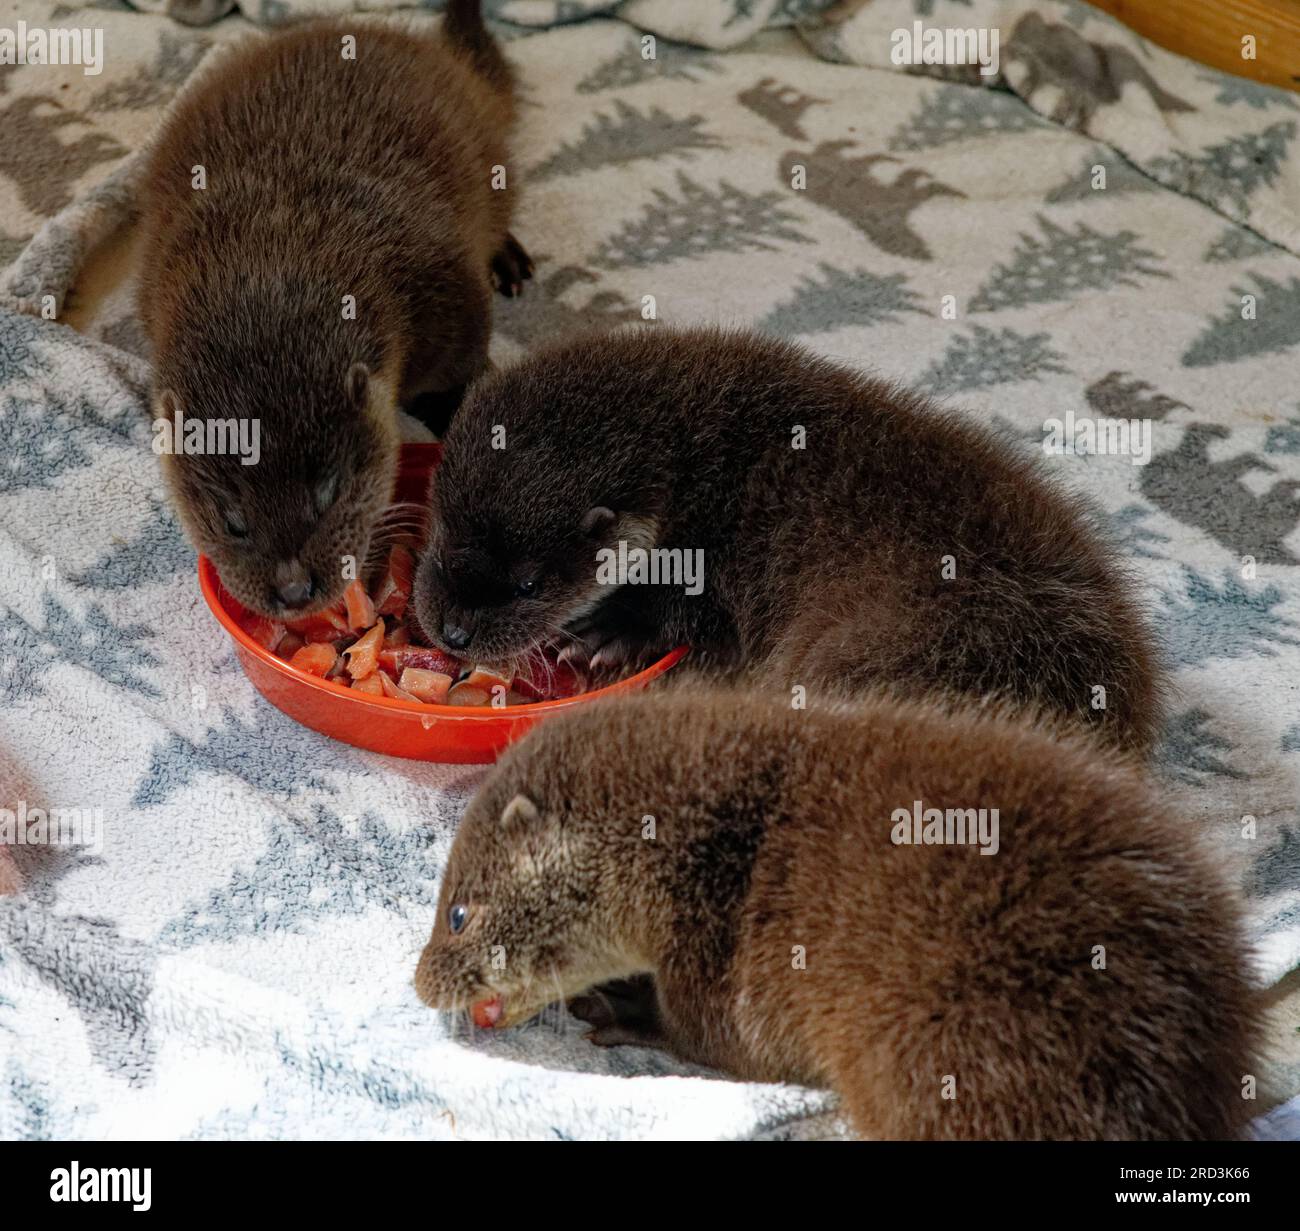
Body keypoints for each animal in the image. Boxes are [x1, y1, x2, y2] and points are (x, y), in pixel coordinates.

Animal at [141, 7, 527, 626]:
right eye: (233, 520)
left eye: (326, 492)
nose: (295, 589)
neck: (272, 255)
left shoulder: (447, 296)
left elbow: (464, 372)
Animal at [410, 327, 1164, 748]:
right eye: (440, 531)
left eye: (529, 583)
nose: (451, 632)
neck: (704, 469)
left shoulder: (719, 560)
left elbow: (685, 615)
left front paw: (602, 635)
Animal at [410, 691, 1253, 1143]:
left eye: (456, 913)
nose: (419, 983)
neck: (715, 845)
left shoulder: (725, 964)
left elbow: (710, 1040)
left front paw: (620, 1004)